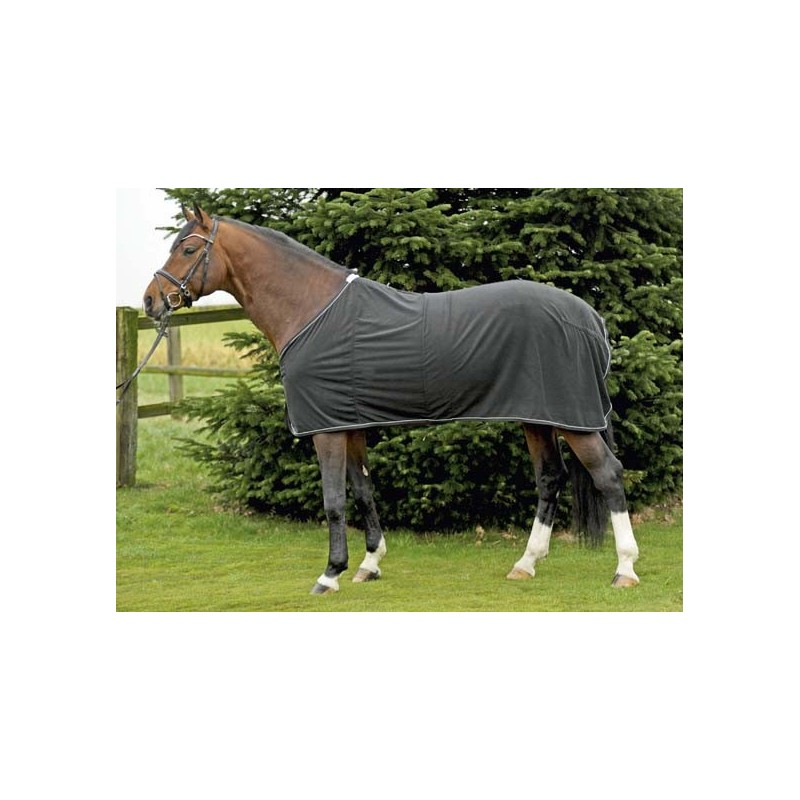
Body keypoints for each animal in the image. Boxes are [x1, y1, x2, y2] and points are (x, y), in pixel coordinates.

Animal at [142, 204, 640, 595]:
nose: (150, 301)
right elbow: (363, 490)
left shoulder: (325, 428)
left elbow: (333, 499)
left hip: (574, 421)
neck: (310, 311)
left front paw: (330, 574)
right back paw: (525, 564)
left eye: (188, 250)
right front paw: (369, 564)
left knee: (608, 475)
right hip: (537, 417)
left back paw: (625, 570)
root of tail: (588, 315)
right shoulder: (350, 424)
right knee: (550, 478)